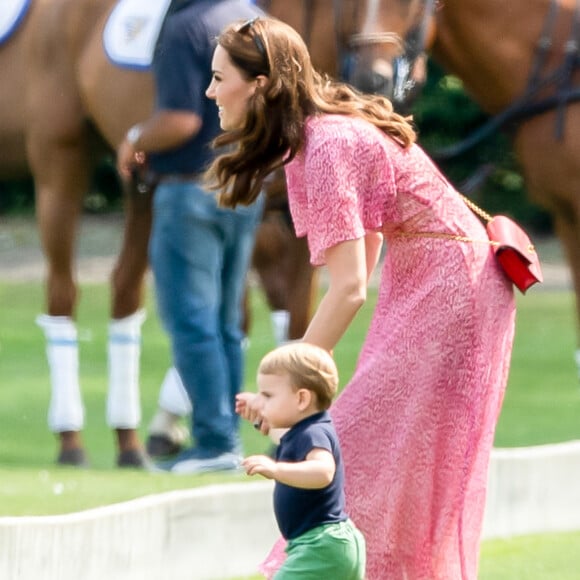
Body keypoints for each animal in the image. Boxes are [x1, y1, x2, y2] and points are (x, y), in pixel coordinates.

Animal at [1, 0, 408, 464]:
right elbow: (253, 314)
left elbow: (289, 312)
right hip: (60, 155)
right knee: (65, 292)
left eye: (417, 8)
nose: (377, 78)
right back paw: (75, 439)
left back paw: (127, 440)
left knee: (123, 290)